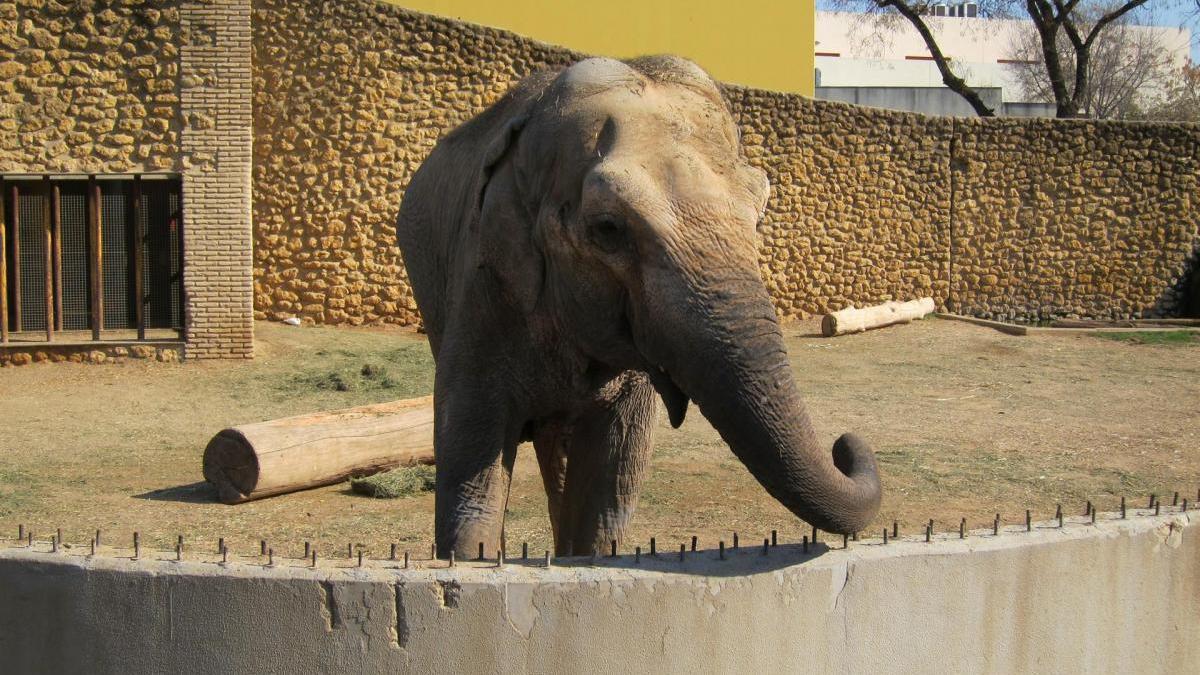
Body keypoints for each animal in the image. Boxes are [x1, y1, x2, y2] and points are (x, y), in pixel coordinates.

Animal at [398, 55, 878, 557]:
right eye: (608, 228)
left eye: (760, 213)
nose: (844, 444)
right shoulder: (481, 294)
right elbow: (470, 484)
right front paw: (477, 559)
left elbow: (609, 485)